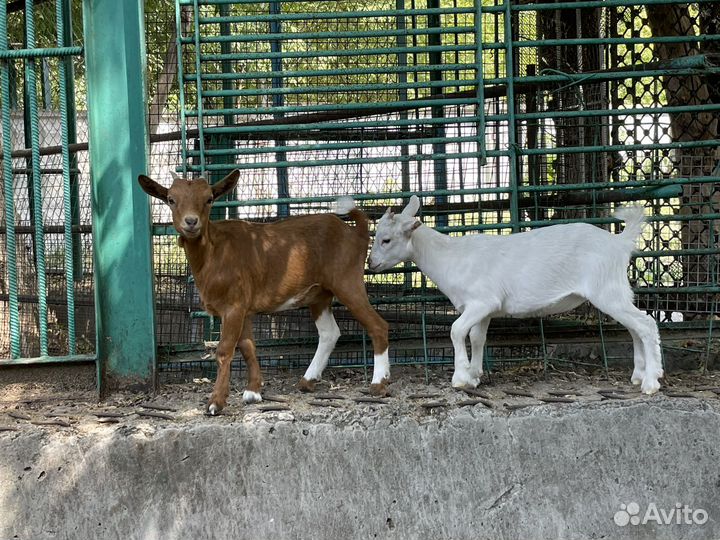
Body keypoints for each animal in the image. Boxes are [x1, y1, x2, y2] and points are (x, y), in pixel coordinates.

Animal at [138, 170, 390, 414]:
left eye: (209, 199)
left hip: (347, 281)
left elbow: (224, 350)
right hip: (319, 294)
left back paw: (378, 383)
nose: (191, 222)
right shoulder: (244, 309)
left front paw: (215, 402)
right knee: (330, 332)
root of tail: (356, 233)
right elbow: (248, 346)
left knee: (377, 325)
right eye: (171, 199)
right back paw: (307, 381)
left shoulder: (233, 306)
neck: (214, 252)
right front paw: (253, 391)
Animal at [367, 195, 663, 394]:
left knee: (646, 324)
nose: (370, 264)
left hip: (606, 288)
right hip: (617, 290)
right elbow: (477, 337)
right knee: (634, 327)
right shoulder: (483, 310)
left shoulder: (482, 301)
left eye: (386, 240)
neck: (451, 257)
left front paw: (460, 378)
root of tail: (619, 242)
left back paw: (651, 382)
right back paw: (639, 375)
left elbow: (456, 330)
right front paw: (474, 375)